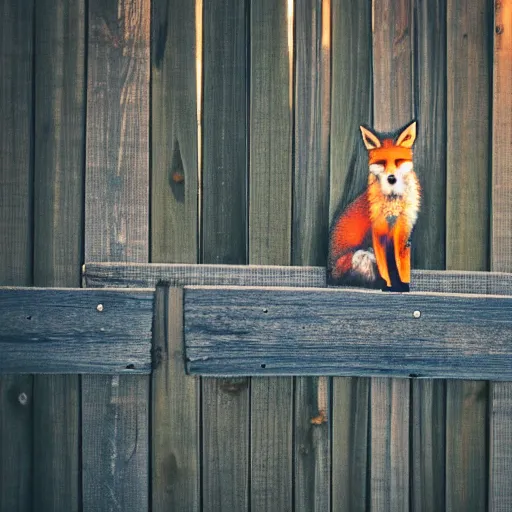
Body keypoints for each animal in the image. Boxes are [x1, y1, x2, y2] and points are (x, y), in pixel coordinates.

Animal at [328, 119, 420, 292]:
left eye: (398, 161)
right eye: (381, 163)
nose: (391, 178)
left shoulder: (401, 233)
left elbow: (400, 266)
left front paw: (402, 285)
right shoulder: (378, 234)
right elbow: (386, 268)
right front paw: (391, 285)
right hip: (360, 256)